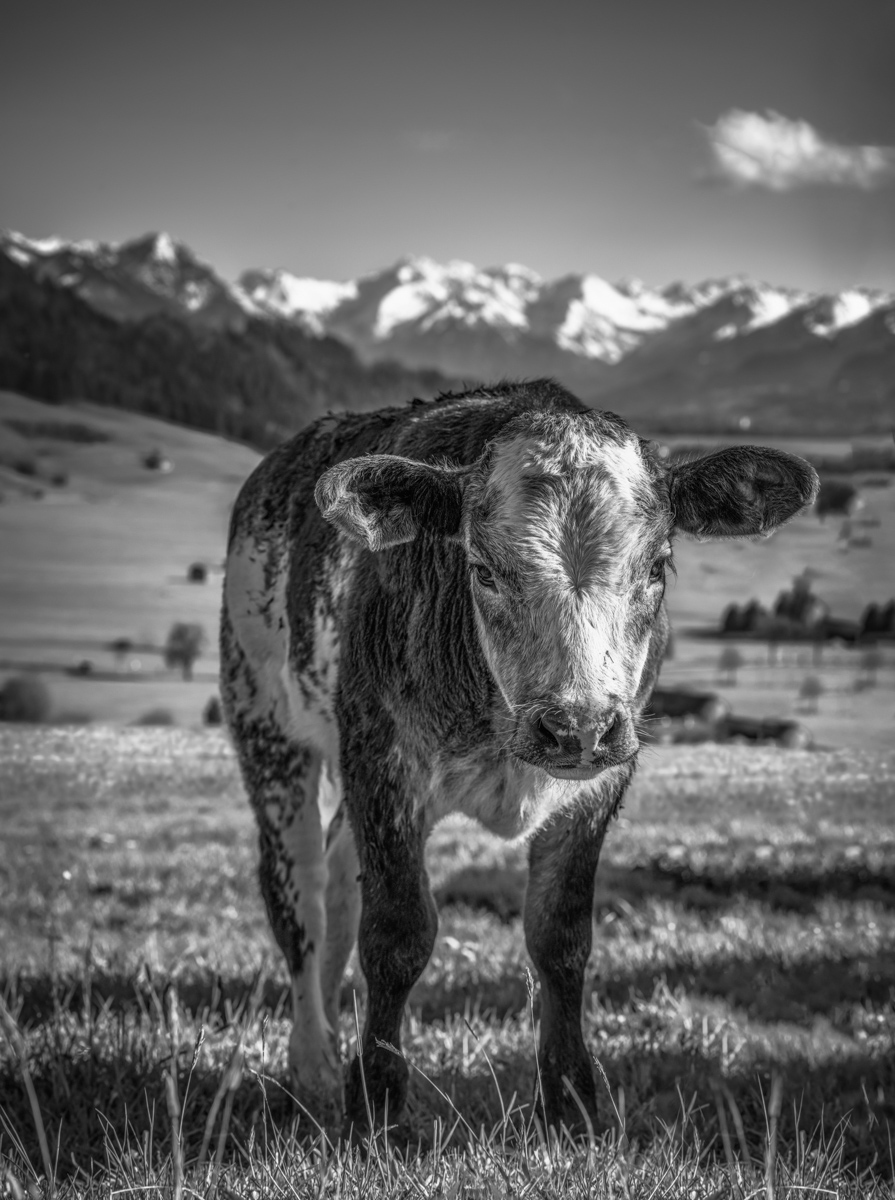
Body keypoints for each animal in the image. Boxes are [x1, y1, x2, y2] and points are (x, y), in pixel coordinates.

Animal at [220, 379, 818, 1134]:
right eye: (481, 570)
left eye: (657, 566)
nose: (575, 727)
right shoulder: (383, 765)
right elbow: (396, 934)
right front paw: (377, 1105)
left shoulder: (599, 784)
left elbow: (560, 938)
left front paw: (571, 1105)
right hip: (266, 724)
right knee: (298, 894)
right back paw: (315, 1065)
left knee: (337, 881)